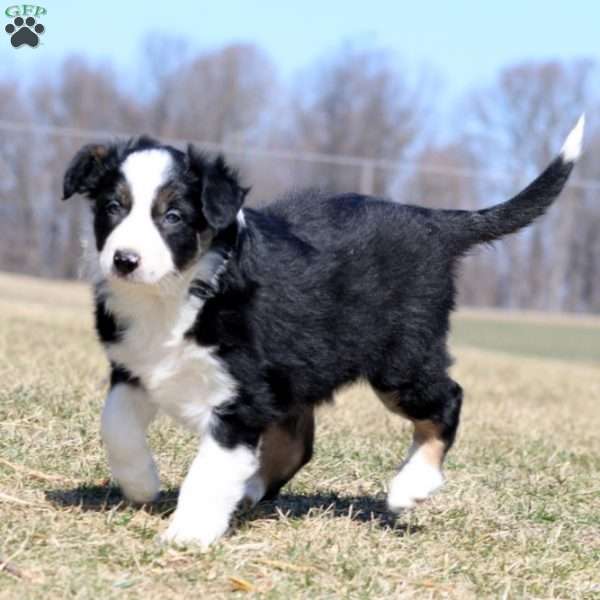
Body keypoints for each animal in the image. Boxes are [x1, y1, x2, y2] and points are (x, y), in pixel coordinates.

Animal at [63, 115, 584, 548]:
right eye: (113, 207)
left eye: (172, 216)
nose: (124, 260)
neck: (175, 294)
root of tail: (433, 222)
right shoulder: (136, 364)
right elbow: (115, 423)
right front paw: (141, 483)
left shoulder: (240, 396)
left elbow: (208, 470)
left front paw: (187, 534)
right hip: (297, 371)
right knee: (299, 443)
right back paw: (249, 490)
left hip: (398, 362)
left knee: (447, 399)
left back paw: (411, 485)